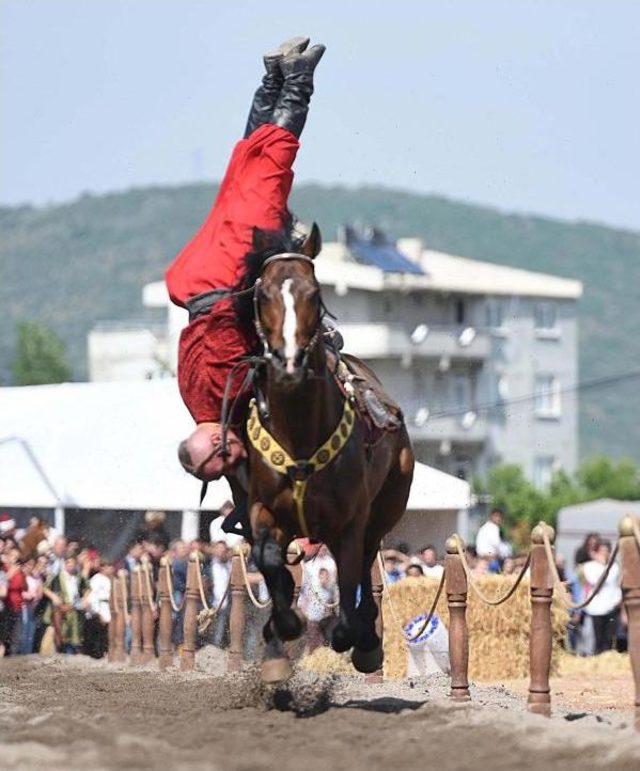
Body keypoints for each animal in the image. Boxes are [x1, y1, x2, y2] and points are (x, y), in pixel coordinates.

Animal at [241, 235, 416, 680]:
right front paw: (283, 628)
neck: (302, 437)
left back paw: (366, 642)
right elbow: (269, 559)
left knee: (367, 561)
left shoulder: (349, 522)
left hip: (386, 506)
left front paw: (349, 635)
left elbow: (352, 577)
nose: (289, 363)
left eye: (314, 293)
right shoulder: (264, 511)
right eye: (262, 294)